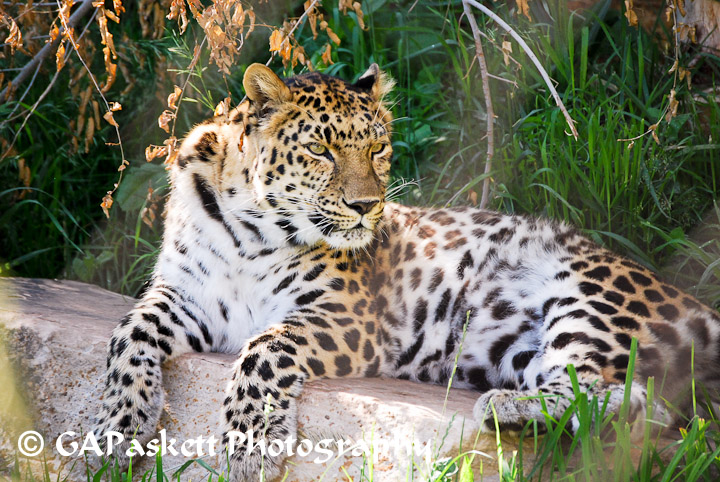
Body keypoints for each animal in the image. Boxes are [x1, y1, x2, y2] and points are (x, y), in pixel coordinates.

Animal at [93, 63, 720, 480]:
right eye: (320, 150)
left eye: (378, 148)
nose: (367, 206)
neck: (249, 228)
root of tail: (697, 304)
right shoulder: (185, 293)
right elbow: (127, 333)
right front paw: (115, 429)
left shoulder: (347, 317)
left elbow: (264, 349)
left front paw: (250, 443)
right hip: (513, 349)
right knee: (635, 403)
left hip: (586, 294)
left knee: (604, 390)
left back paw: (504, 410)